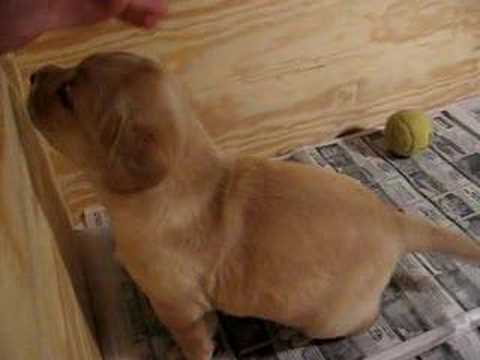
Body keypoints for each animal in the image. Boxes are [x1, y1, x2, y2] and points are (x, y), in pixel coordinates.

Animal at [28, 52, 480, 360]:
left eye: (67, 95)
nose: (32, 73)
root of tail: (393, 219)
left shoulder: (177, 304)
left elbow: (194, 339)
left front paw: (189, 353)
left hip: (332, 315)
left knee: (364, 318)